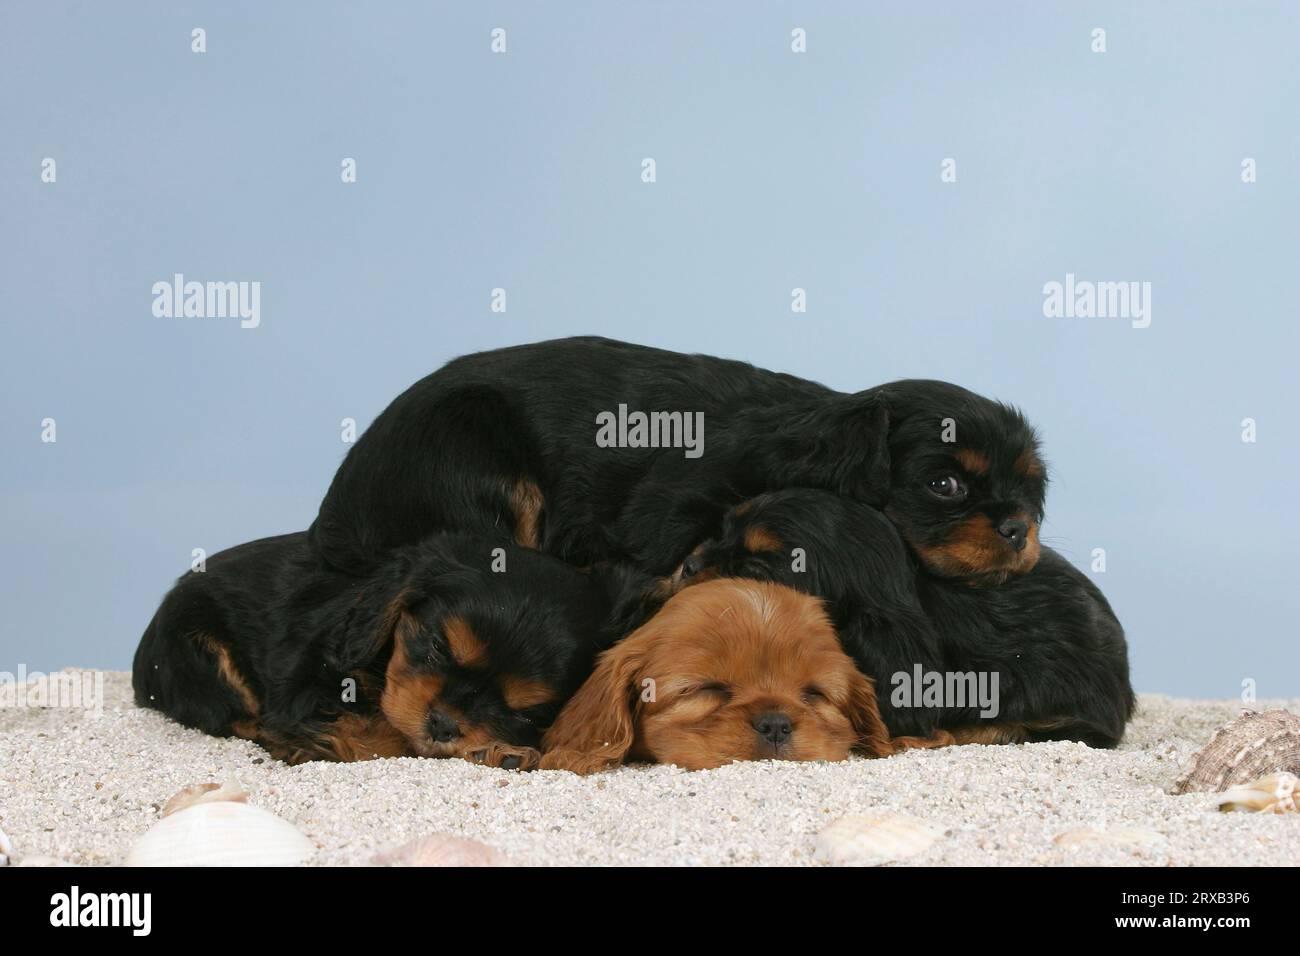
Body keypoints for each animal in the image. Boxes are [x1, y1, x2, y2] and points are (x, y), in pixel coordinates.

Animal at [134, 535, 660, 764]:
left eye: (529, 711)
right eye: (437, 647)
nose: (444, 724)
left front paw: (501, 747)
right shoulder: (300, 685)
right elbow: (389, 732)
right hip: (198, 652)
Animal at [309, 335, 1050, 582]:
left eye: (1033, 495)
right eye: (945, 483)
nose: (1019, 529)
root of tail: (334, 513)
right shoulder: (665, 511)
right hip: (468, 446)